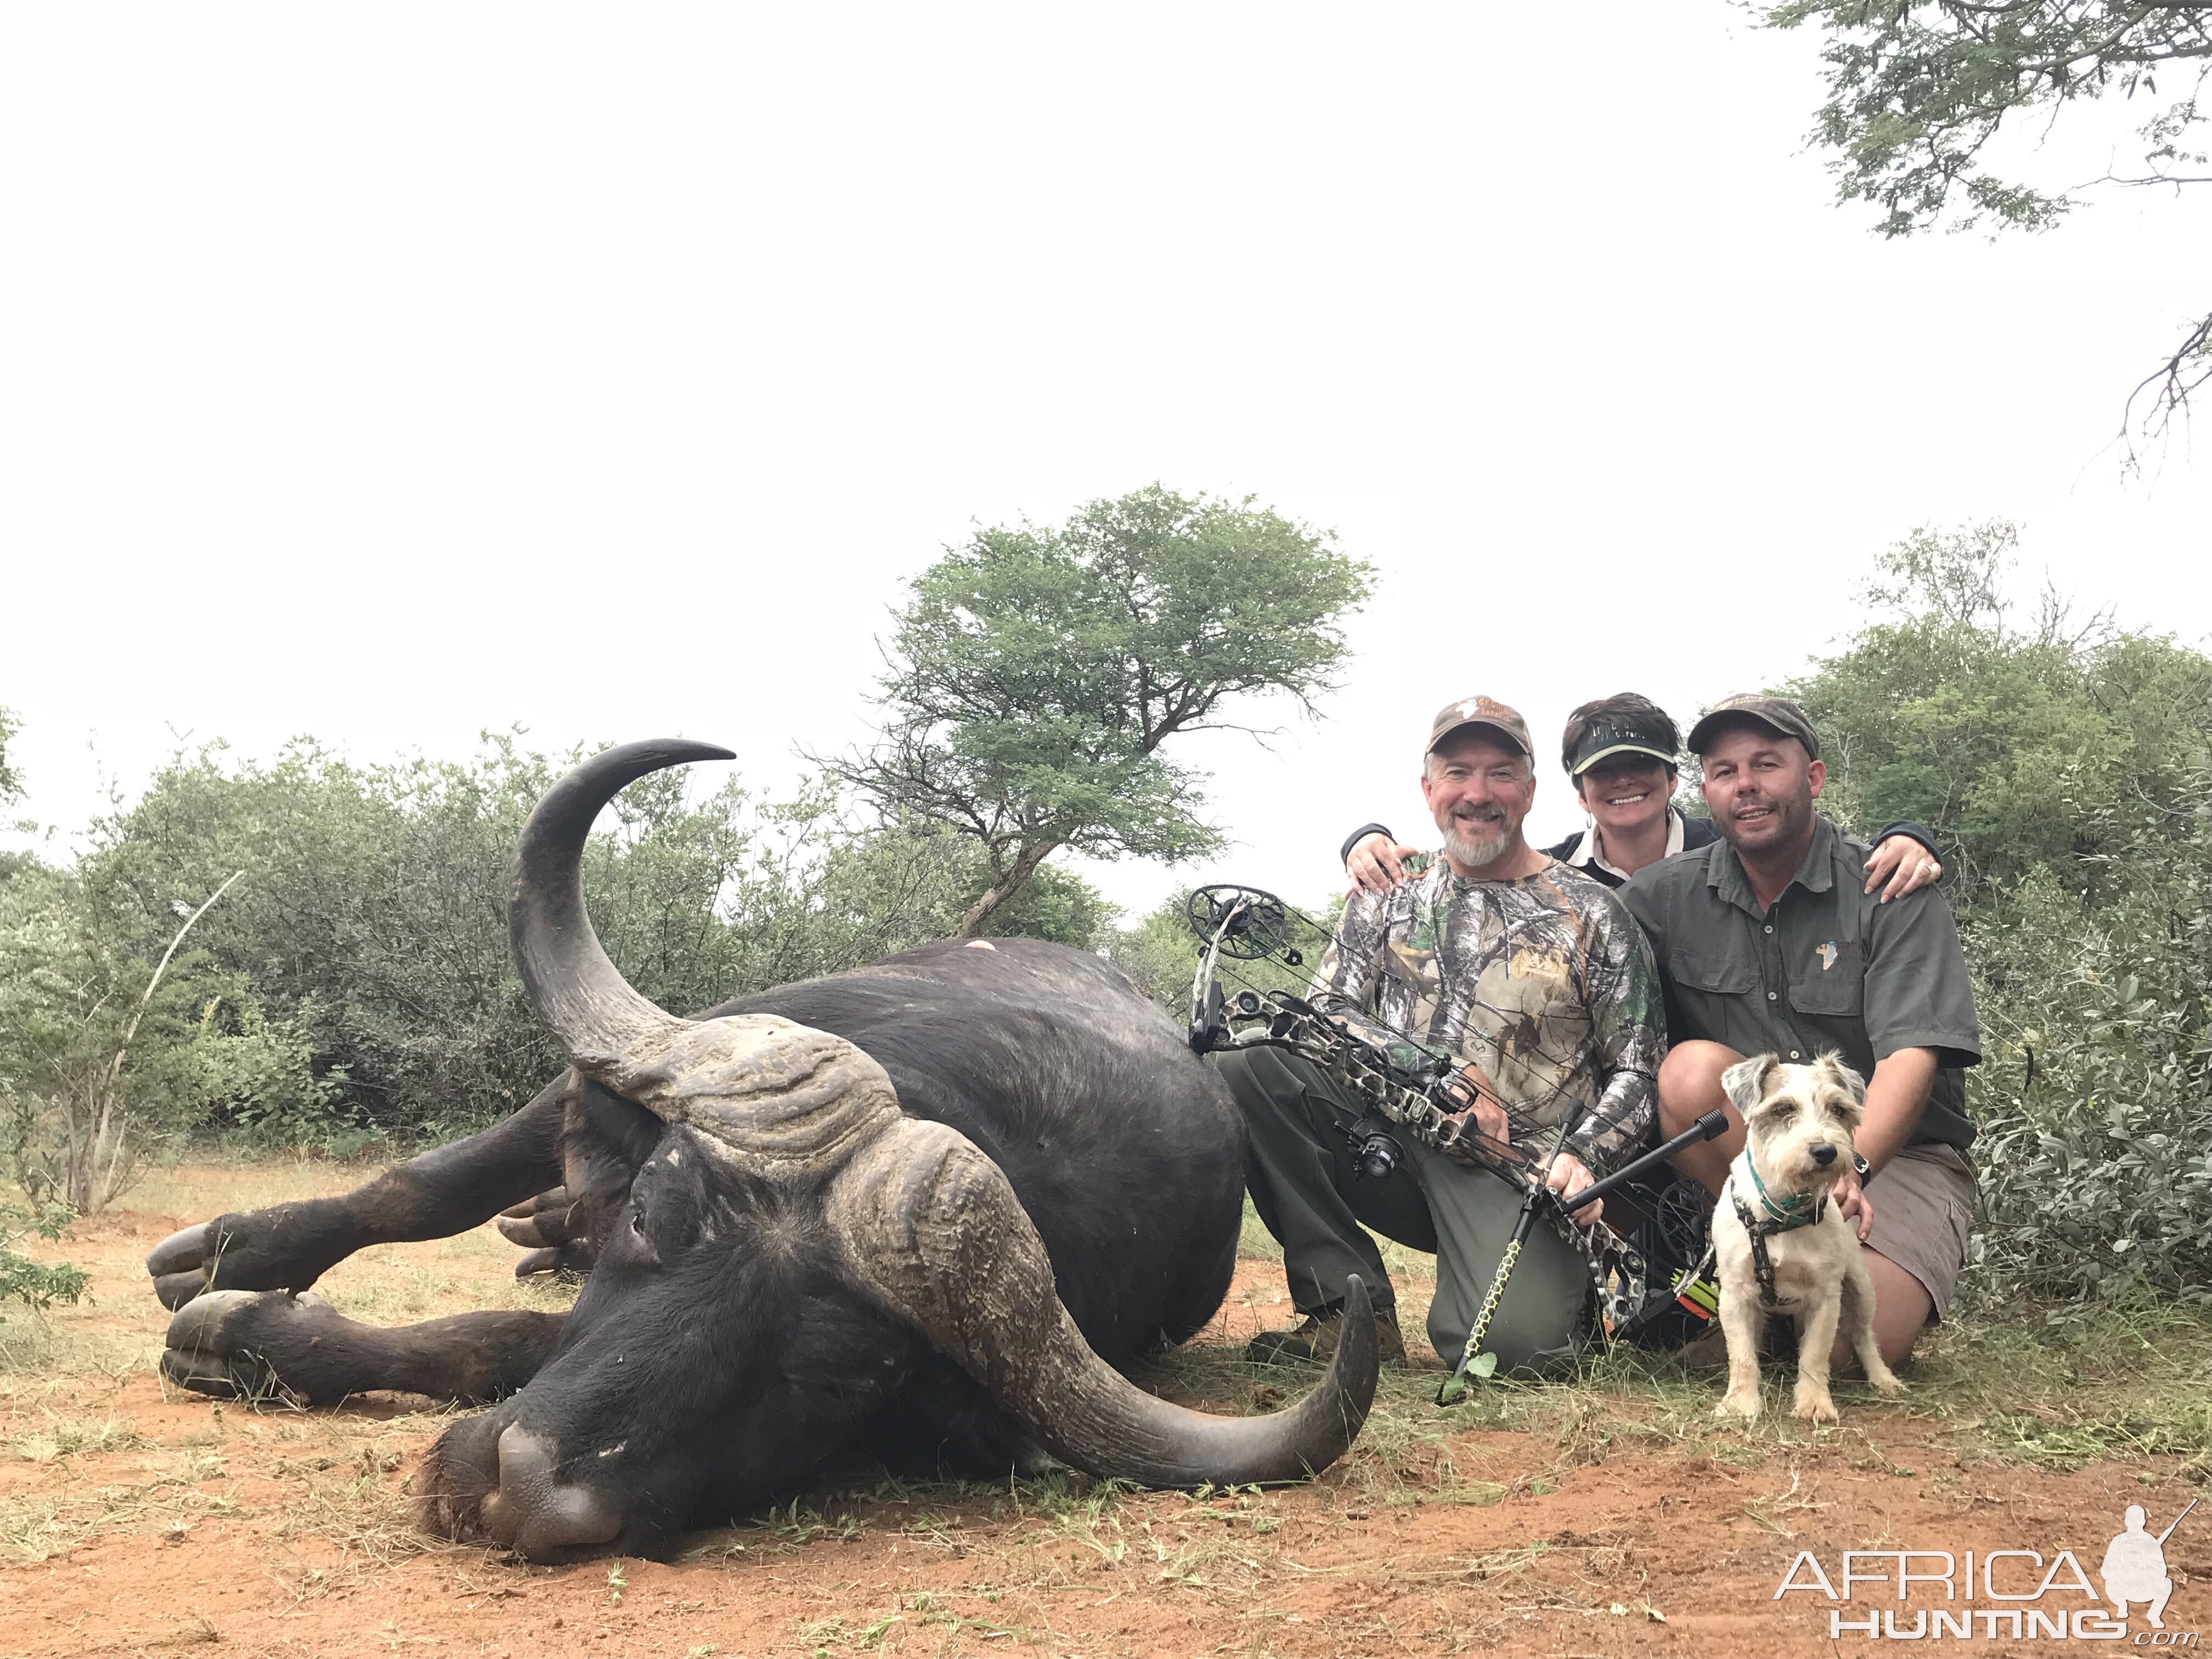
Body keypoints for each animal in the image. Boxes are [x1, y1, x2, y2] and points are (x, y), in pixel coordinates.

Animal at [147, 738, 1371, 1557]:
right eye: (653, 1218)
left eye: (838, 1377)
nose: (520, 1490)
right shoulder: (602, 1085)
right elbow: (416, 1189)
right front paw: (231, 1276)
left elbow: (501, 1337)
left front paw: (256, 1339)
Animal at [1707, 1053, 1902, 1433]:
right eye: (1783, 1108)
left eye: (1838, 1110)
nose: (1825, 1151)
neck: (1781, 1213)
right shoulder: (1734, 1294)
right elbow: (1742, 1355)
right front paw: (1740, 1403)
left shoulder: (1826, 1296)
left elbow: (1814, 1355)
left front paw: (1814, 1403)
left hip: (1861, 1290)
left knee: (1864, 1336)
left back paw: (1882, 1378)